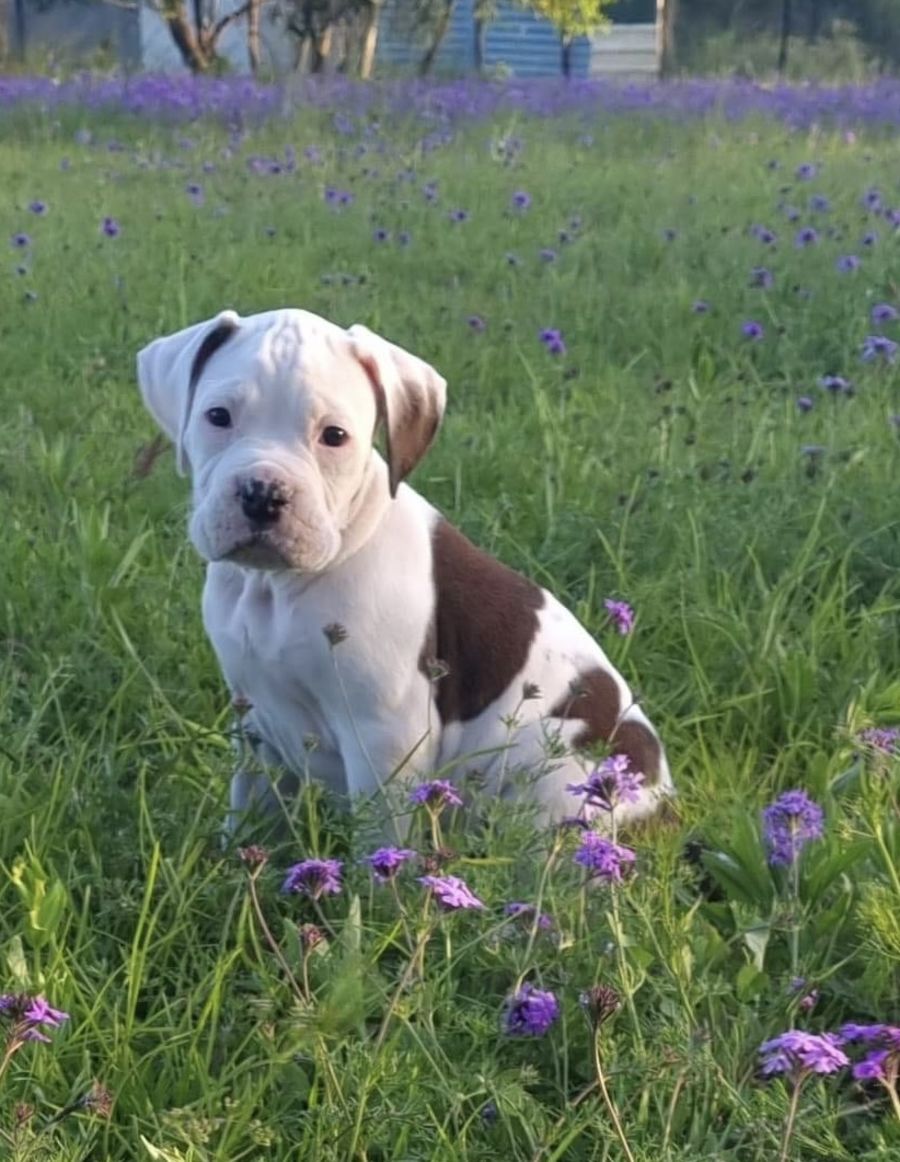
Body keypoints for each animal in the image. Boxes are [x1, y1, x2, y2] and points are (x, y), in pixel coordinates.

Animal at [135, 309, 678, 831]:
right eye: (218, 417)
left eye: (334, 436)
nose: (263, 495)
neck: (275, 587)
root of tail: (665, 810)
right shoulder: (254, 725)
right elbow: (249, 816)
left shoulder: (385, 742)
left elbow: (380, 841)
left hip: (555, 780)